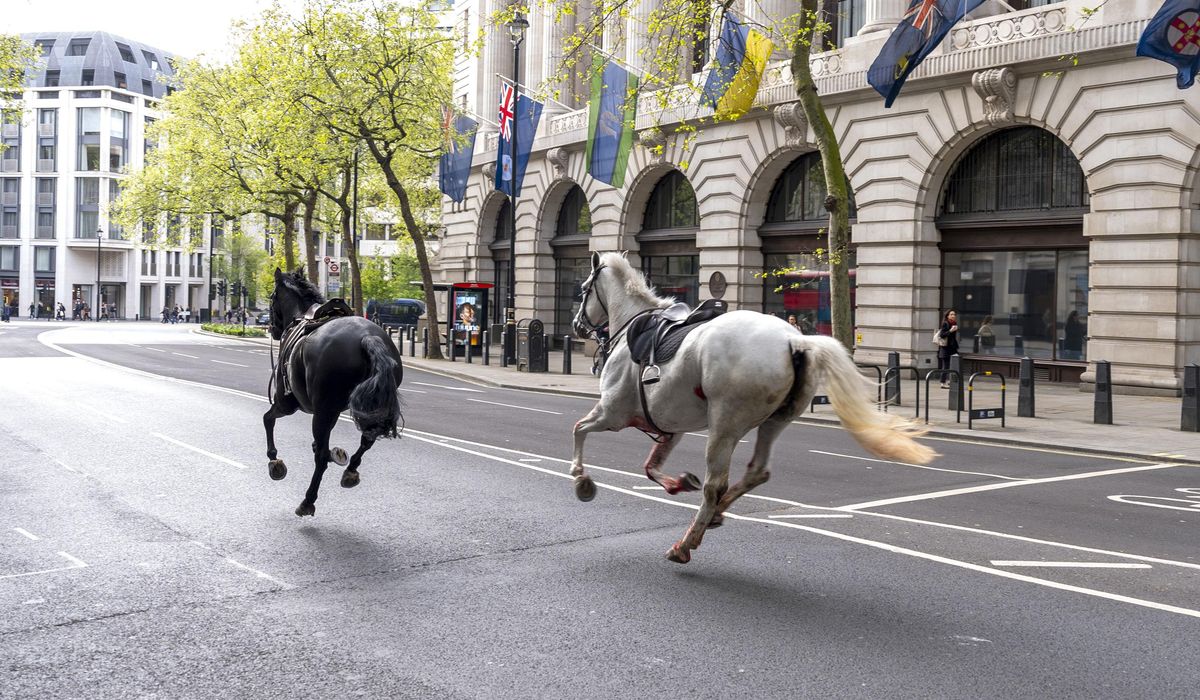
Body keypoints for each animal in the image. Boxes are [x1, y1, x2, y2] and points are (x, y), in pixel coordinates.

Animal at [264, 268, 403, 513]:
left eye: (272, 297)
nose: (272, 329)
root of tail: (367, 337)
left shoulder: (287, 403)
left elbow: (268, 419)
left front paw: (274, 460)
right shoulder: (334, 410)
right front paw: (336, 455)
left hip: (320, 411)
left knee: (320, 458)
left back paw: (308, 500)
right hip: (365, 408)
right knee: (367, 439)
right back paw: (350, 470)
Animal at [571, 252, 936, 564]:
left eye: (584, 289)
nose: (576, 326)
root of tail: (796, 339)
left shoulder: (613, 412)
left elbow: (579, 429)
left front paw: (581, 479)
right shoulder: (669, 426)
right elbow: (650, 466)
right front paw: (677, 483)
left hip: (724, 423)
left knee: (715, 484)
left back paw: (686, 542)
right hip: (775, 420)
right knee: (756, 472)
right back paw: (716, 514)